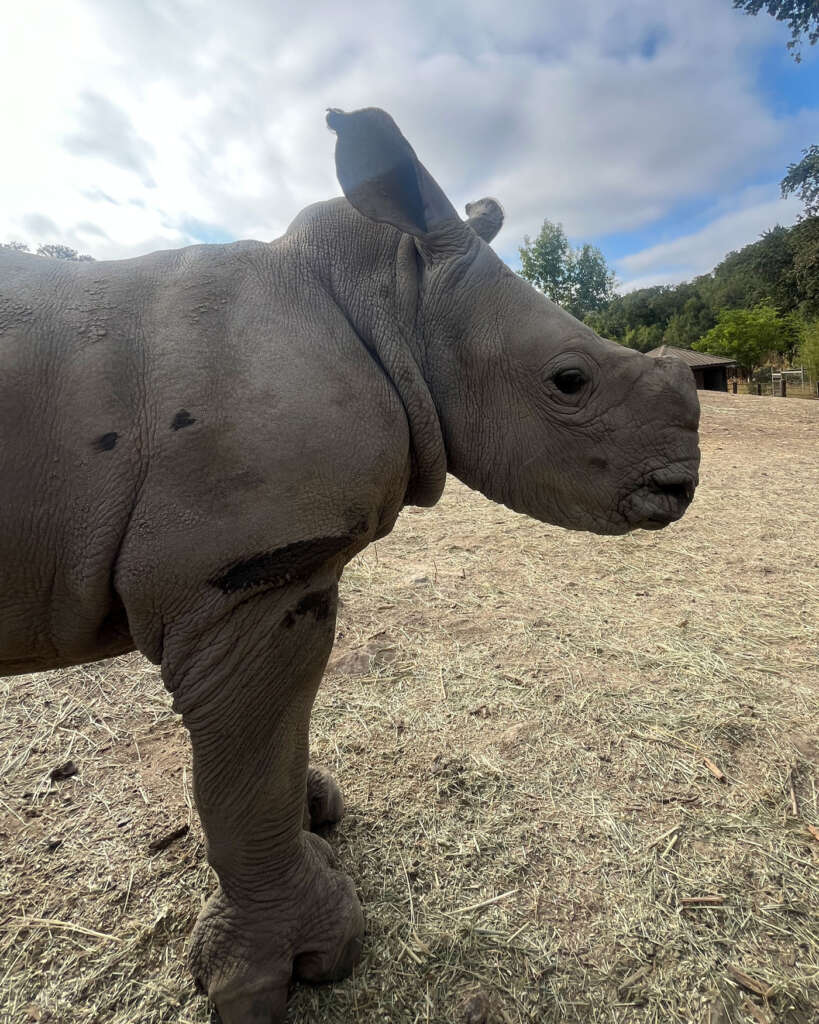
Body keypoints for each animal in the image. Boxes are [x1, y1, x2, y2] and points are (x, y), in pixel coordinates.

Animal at [0, 107, 699, 1022]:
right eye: (569, 381)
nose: (683, 483)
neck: (394, 299)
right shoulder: (241, 579)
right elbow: (246, 766)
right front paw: (293, 970)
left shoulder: (285, 567)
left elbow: (274, 739)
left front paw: (318, 818)